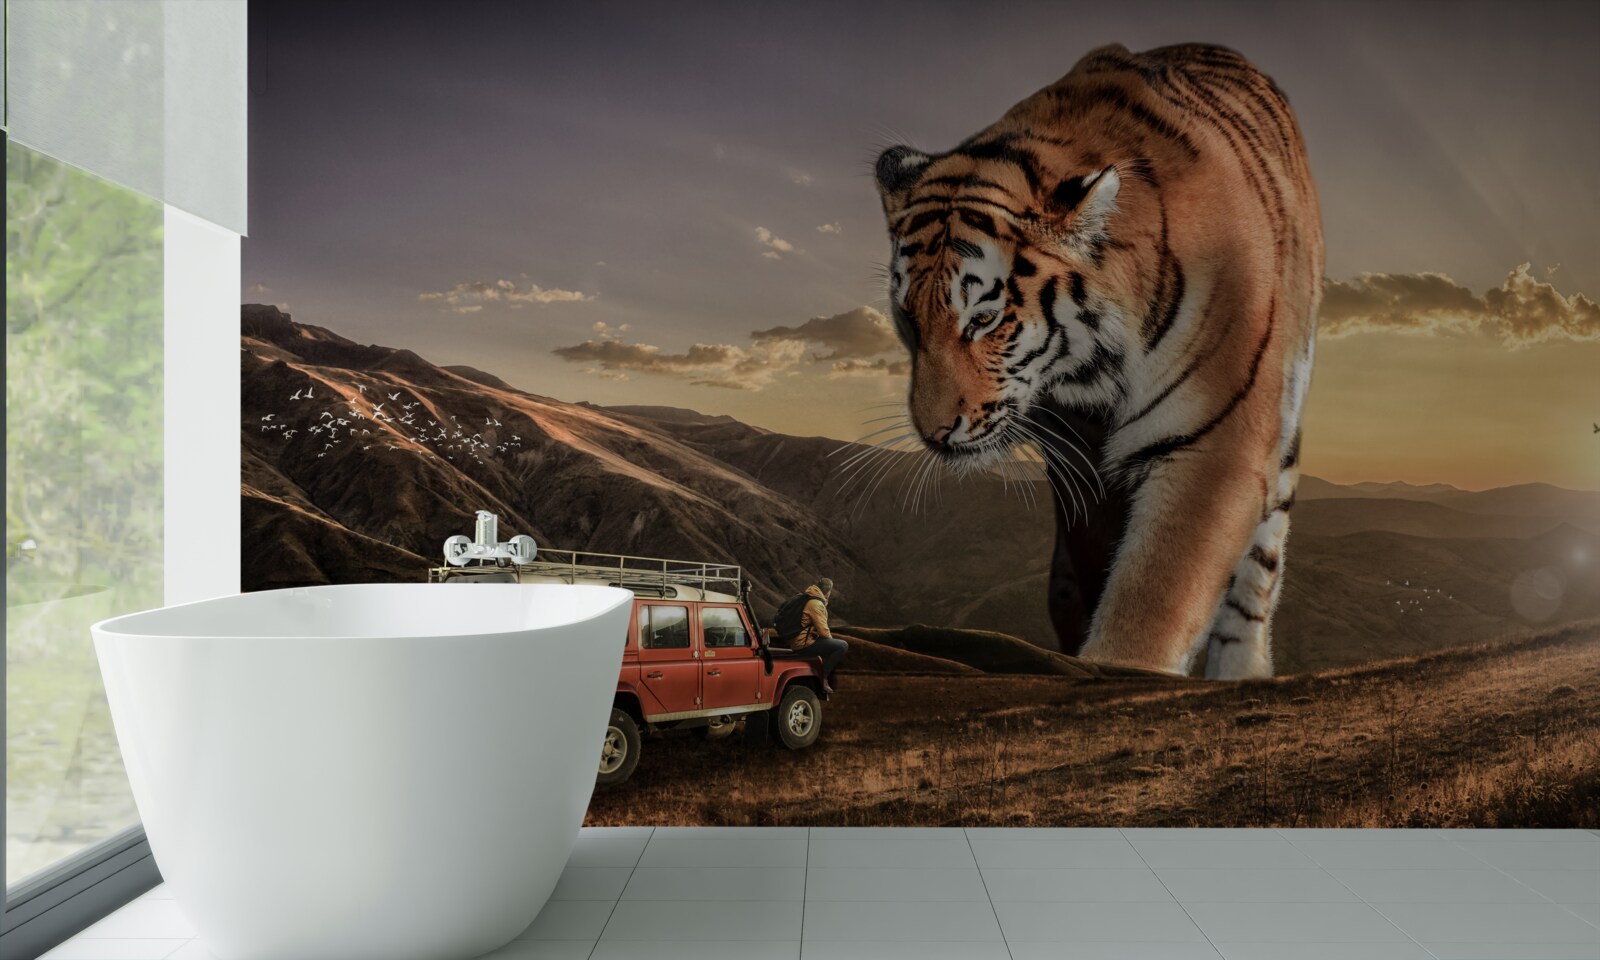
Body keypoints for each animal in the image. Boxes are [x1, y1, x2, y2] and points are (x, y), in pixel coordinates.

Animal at [872, 43, 1322, 679]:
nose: (933, 432)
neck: (1087, 376)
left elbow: (1157, 593)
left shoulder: (1216, 443)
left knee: (1255, 578)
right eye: (909, 320)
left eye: (983, 319)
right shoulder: (1079, 469)